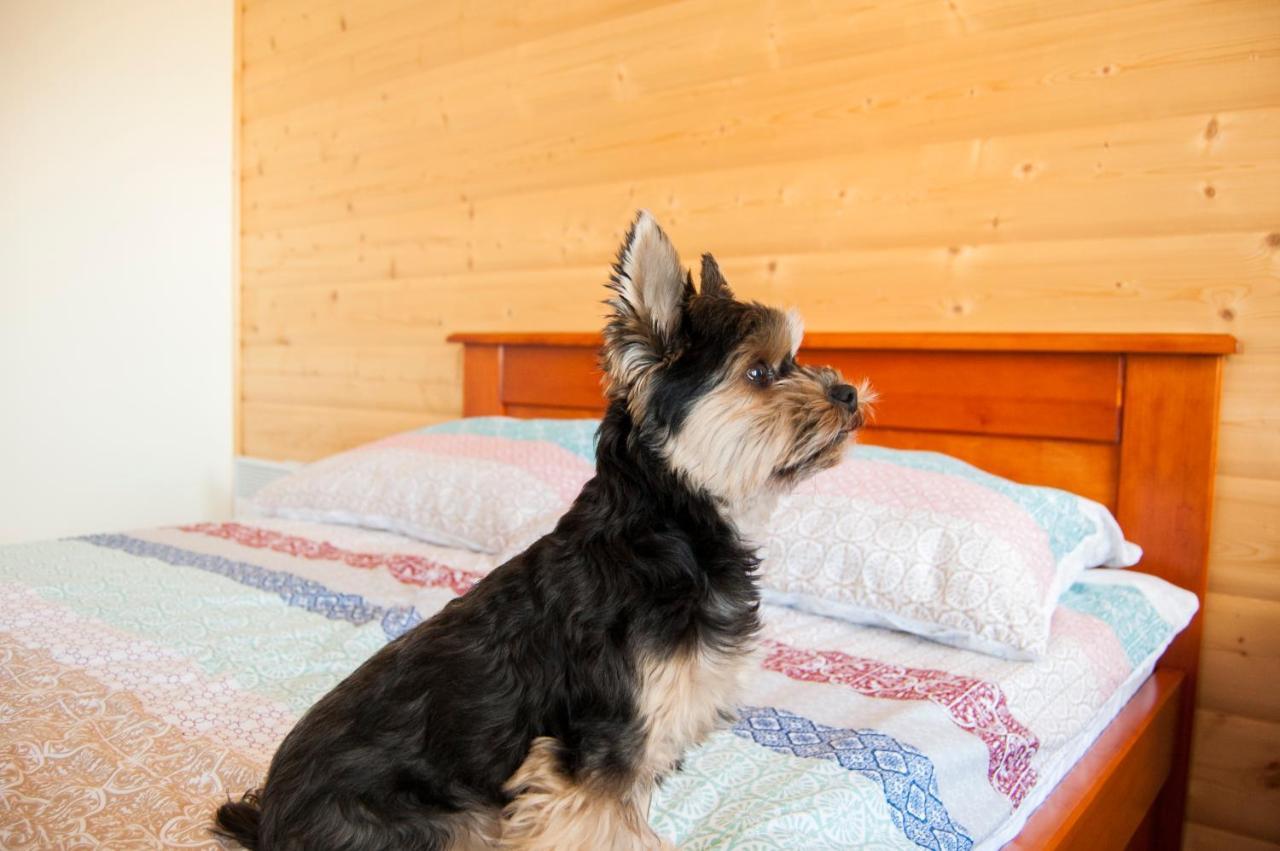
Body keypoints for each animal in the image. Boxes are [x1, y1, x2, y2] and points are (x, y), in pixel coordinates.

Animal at [215, 212, 865, 849]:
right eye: (759, 372)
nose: (848, 392)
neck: (668, 528)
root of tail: (269, 826)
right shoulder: (597, 756)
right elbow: (618, 834)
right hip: (445, 822)